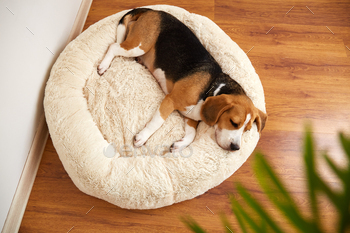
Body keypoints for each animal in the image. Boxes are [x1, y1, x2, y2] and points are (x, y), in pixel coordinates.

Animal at [97, 8, 266, 152]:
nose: (236, 148)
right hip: (139, 45)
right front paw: (143, 137)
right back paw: (103, 66)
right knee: (113, 46)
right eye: (234, 122)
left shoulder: (191, 116)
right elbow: (157, 122)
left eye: (247, 130)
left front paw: (180, 145)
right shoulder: (170, 100)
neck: (210, 90)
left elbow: (192, 135)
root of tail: (153, 10)